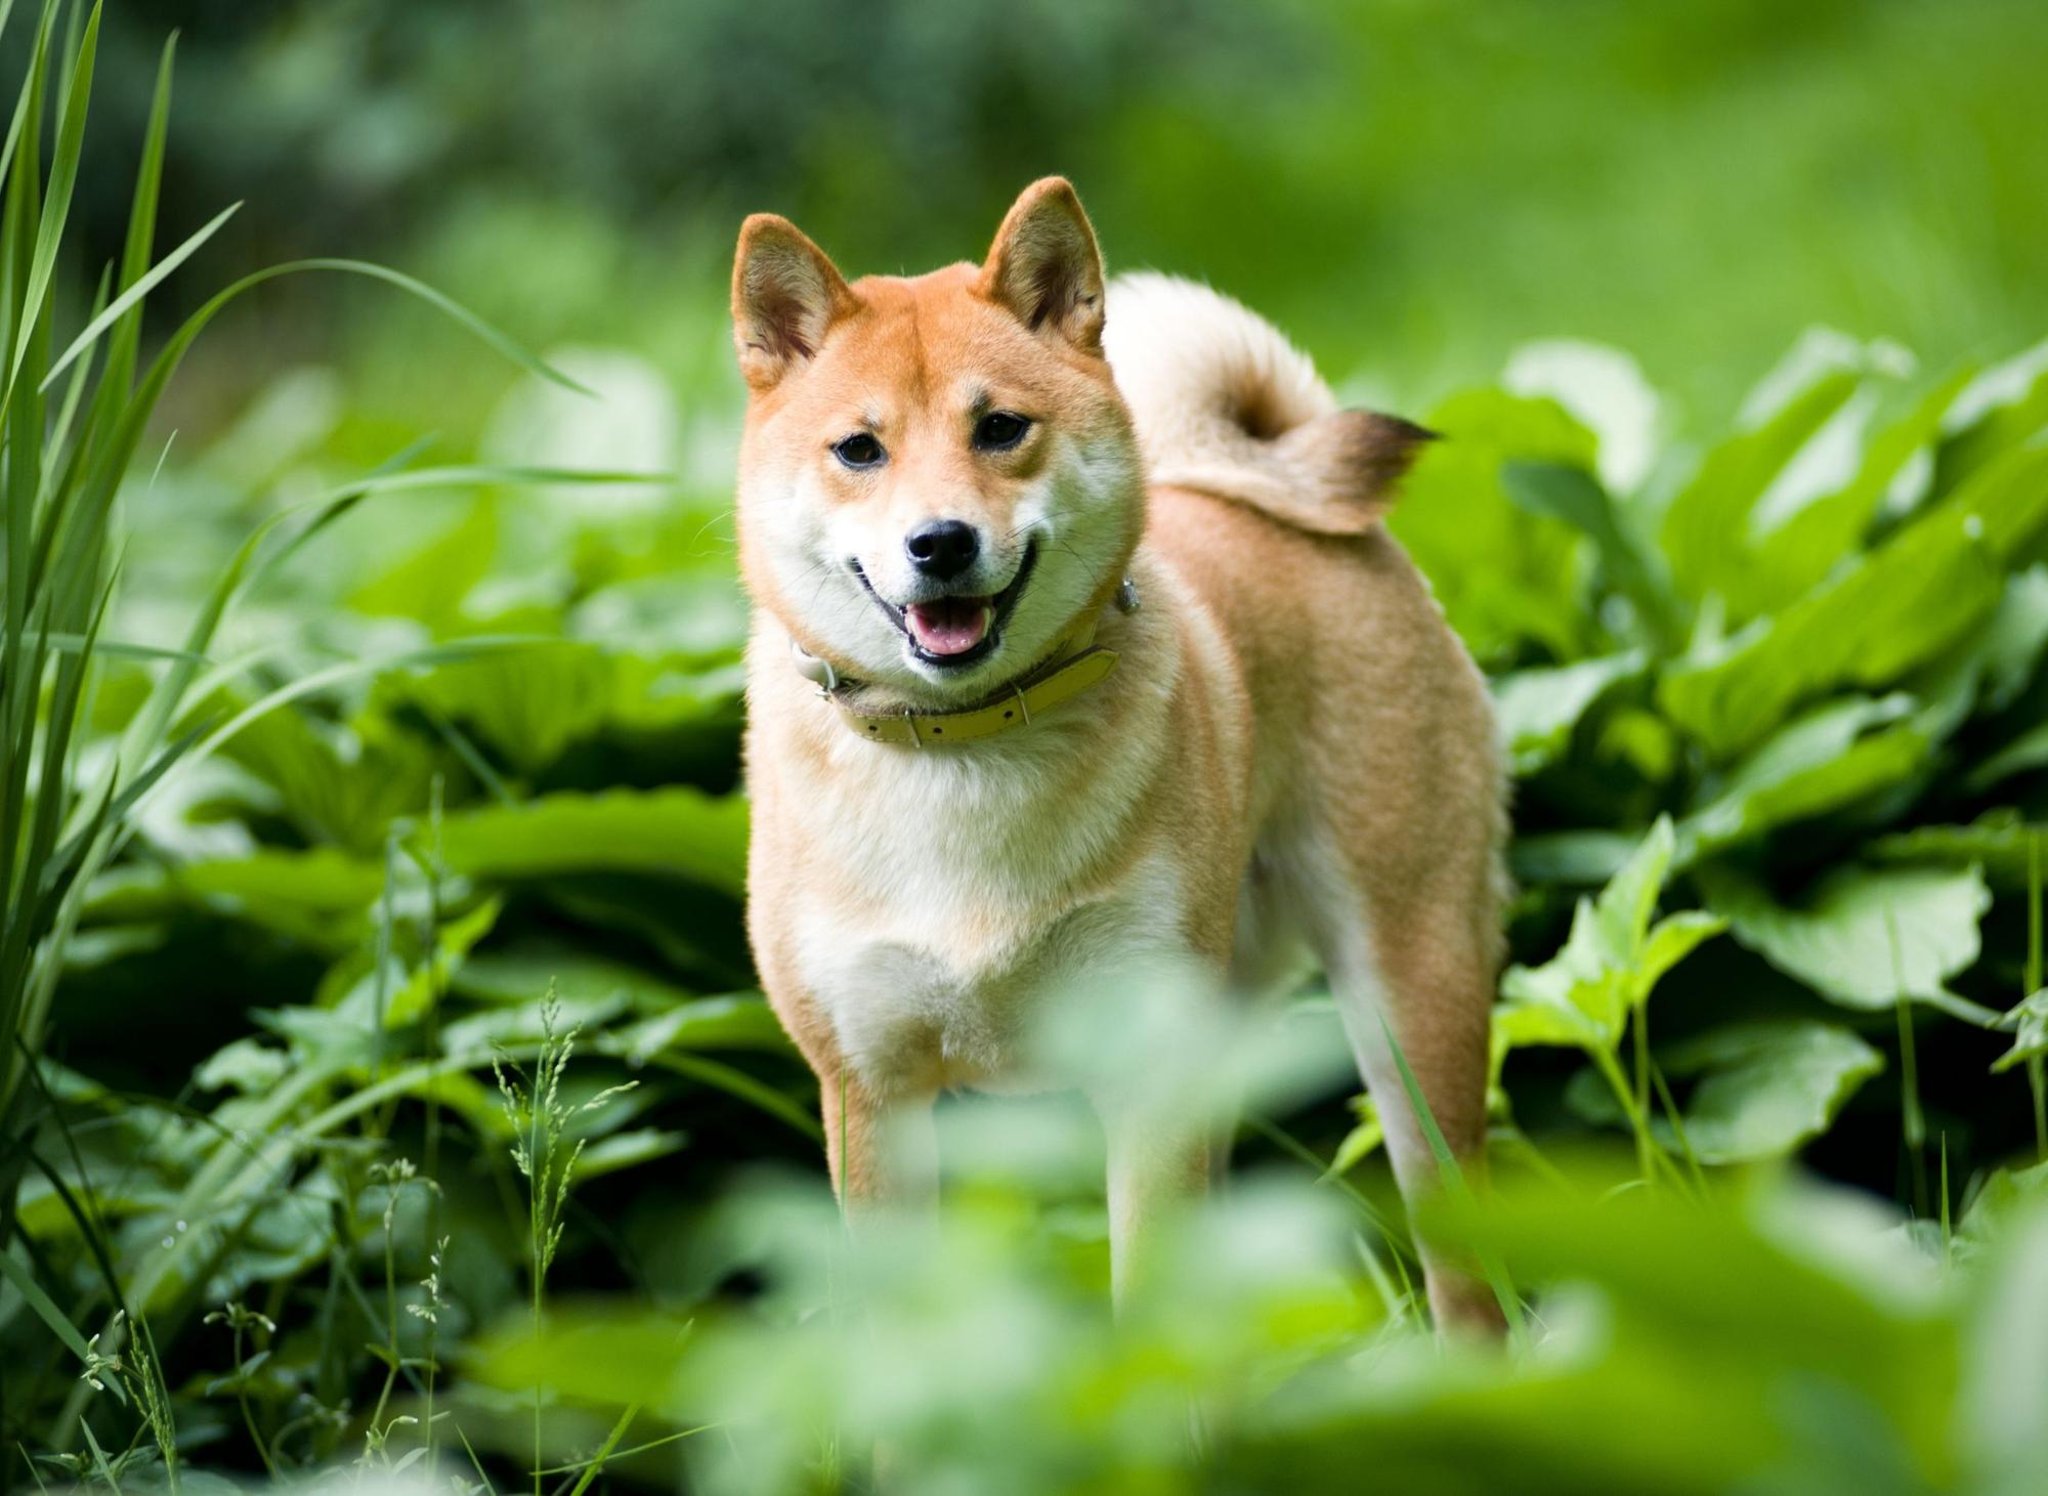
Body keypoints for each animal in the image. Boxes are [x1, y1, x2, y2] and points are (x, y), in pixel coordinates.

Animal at [733, 177, 1507, 1327]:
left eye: (1000, 428)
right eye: (859, 449)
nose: (940, 542)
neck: (965, 751)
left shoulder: (1145, 1078)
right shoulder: (871, 1095)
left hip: (1412, 1010)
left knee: (1465, 1285)